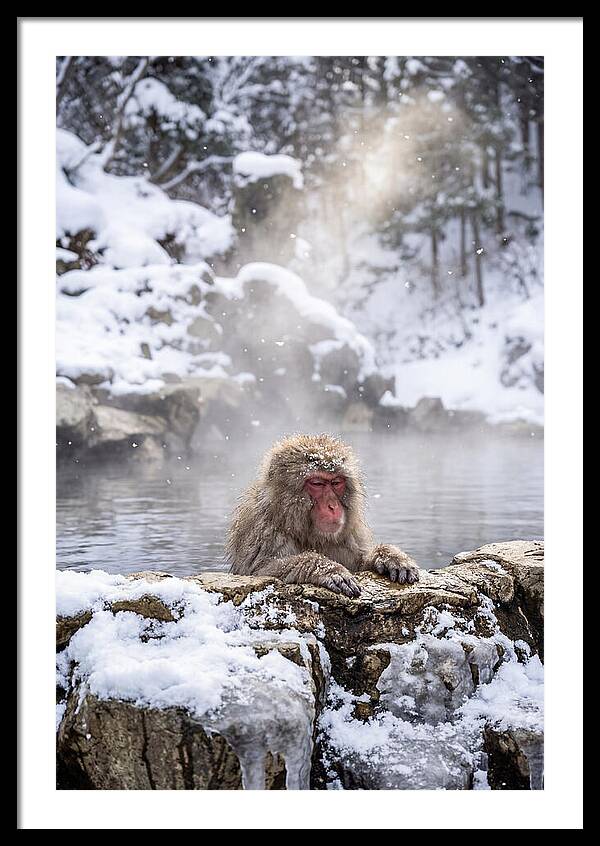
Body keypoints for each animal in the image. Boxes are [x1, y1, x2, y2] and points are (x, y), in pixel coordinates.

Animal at [226, 433, 420, 597]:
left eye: (336, 482)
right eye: (317, 483)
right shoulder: (262, 529)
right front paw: (328, 569)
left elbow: (359, 563)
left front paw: (389, 557)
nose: (332, 506)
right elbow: (261, 571)